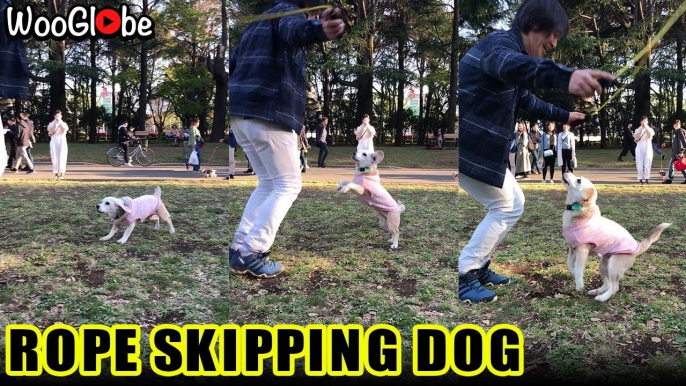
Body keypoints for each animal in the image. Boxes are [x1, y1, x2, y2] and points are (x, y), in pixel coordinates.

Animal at [560, 172, 668, 302]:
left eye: (579, 180)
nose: (566, 171)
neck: (580, 209)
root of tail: (638, 247)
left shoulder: (582, 250)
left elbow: (578, 269)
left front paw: (579, 285)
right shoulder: (572, 248)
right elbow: (570, 264)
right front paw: (573, 274)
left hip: (614, 264)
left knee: (615, 287)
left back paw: (602, 298)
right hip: (603, 264)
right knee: (608, 284)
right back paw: (597, 291)